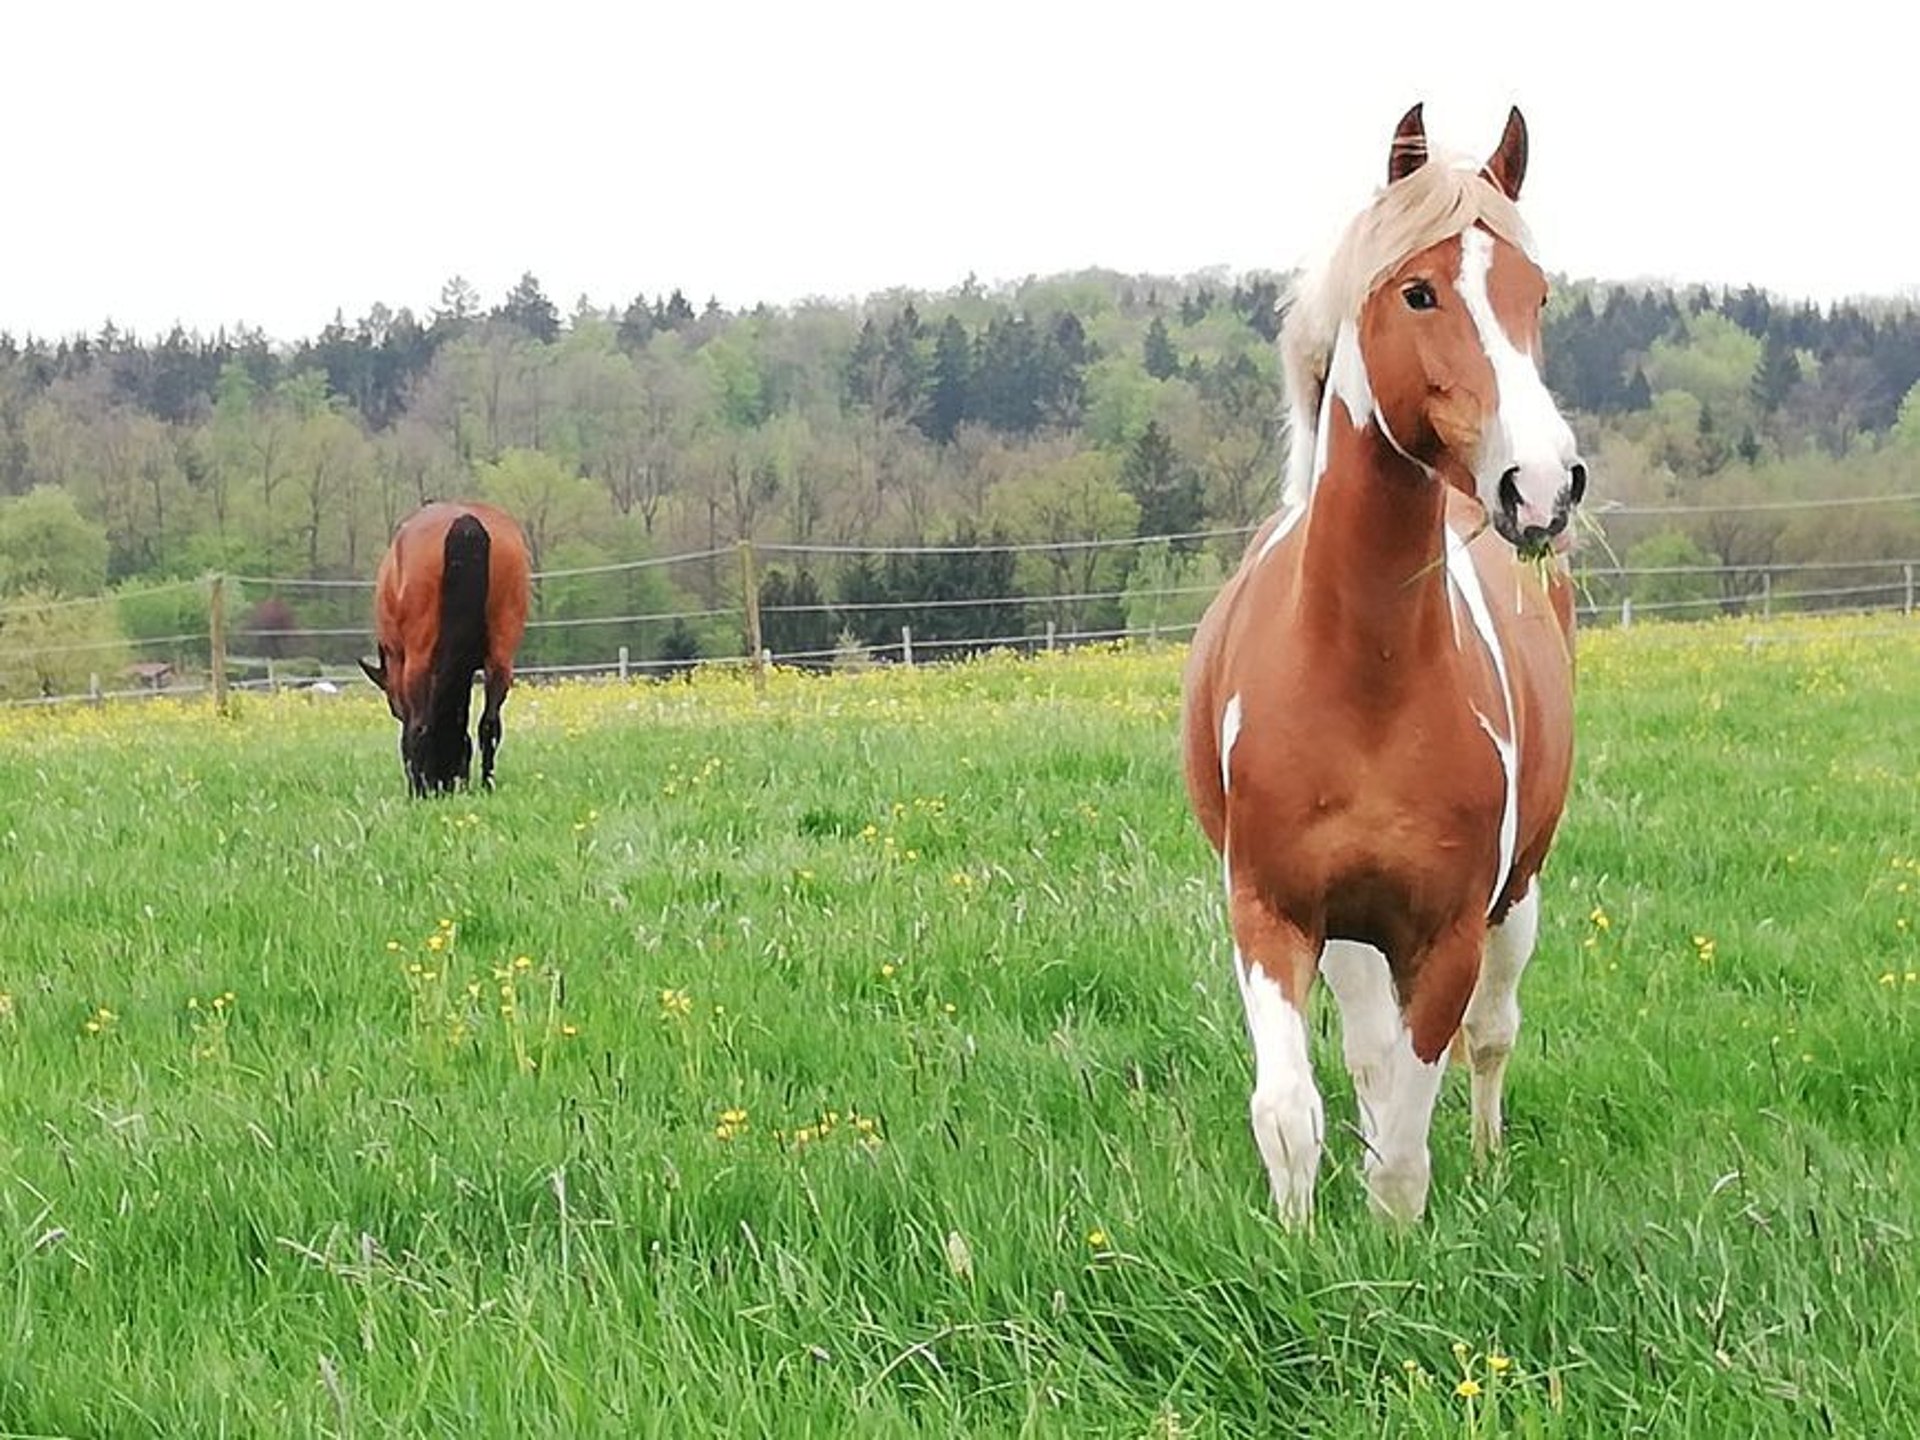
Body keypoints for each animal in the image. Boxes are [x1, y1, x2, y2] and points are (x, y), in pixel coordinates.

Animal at [1182, 104, 1589, 1228]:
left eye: (1536, 294)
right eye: (1419, 290)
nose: (1543, 485)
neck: (1363, 679)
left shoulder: (1447, 934)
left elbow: (1407, 1148)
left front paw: (1393, 1246)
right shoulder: (1272, 914)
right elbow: (1291, 1115)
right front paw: (1295, 1244)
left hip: (1516, 900)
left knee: (1491, 1037)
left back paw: (1488, 1162)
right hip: (1353, 935)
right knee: (1367, 1057)